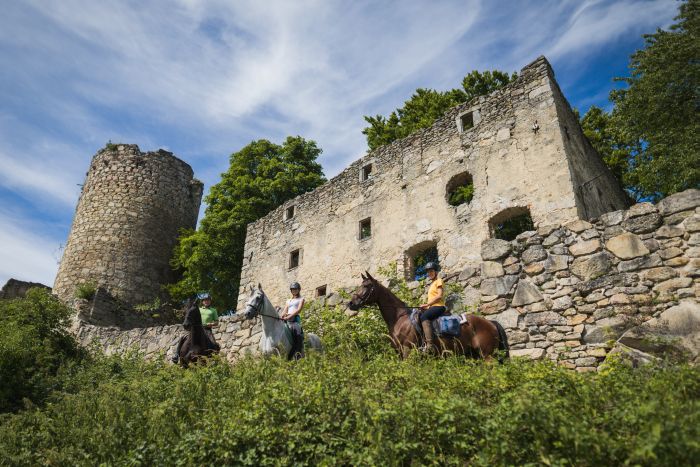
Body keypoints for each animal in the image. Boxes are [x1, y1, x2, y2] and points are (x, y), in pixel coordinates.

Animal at [346, 270, 506, 362]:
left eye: (366, 286)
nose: (351, 303)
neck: (400, 319)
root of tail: (491, 323)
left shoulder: (408, 350)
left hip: (487, 355)